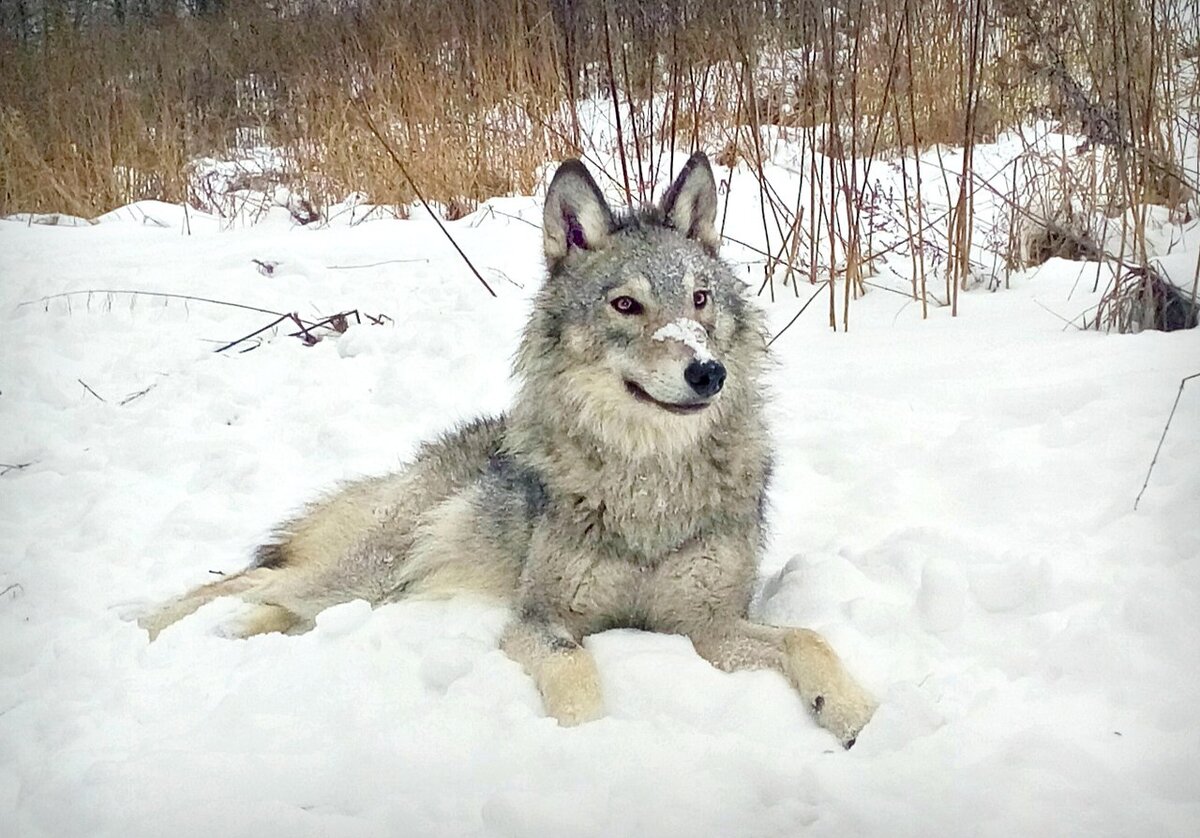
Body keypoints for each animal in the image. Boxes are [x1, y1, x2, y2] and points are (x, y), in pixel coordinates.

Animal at [140, 153, 878, 739]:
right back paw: (147, 625)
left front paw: (852, 714)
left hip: (376, 590)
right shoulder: (539, 619)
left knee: (273, 599)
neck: (649, 481)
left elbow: (809, 637)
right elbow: (574, 673)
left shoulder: (709, 627)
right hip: (369, 568)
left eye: (698, 299)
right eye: (625, 305)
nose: (708, 372)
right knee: (245, 579)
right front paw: (587, 743)